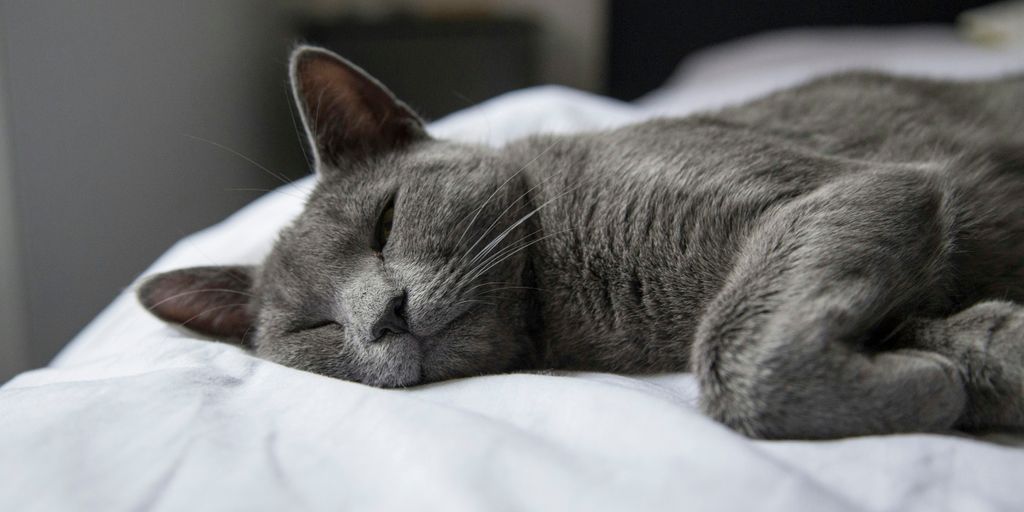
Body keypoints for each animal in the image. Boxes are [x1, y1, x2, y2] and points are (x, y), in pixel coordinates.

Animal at [140, 47, 1024, 440]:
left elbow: (735, 351)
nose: (382, 315)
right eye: (314, 329)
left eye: (385, 223)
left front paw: (936, 386)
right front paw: (951, 375)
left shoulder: (852, 190)